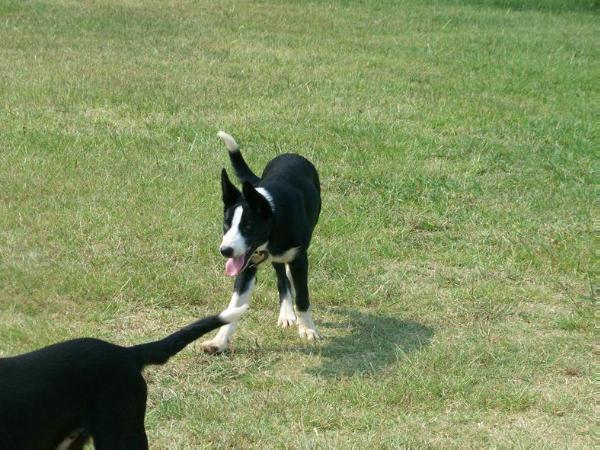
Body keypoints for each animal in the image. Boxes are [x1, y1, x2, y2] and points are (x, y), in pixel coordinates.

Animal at [200, 131, 324, 356]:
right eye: (226, 223)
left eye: (248, 226)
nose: (225, 251)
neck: (274, 213)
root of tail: (290, 154)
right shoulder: (247, 264)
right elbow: (234, 305)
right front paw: (218, 341)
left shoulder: (299, 258)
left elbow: (303, 296)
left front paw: (308, 329)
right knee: (281, 278)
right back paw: (286, 313)